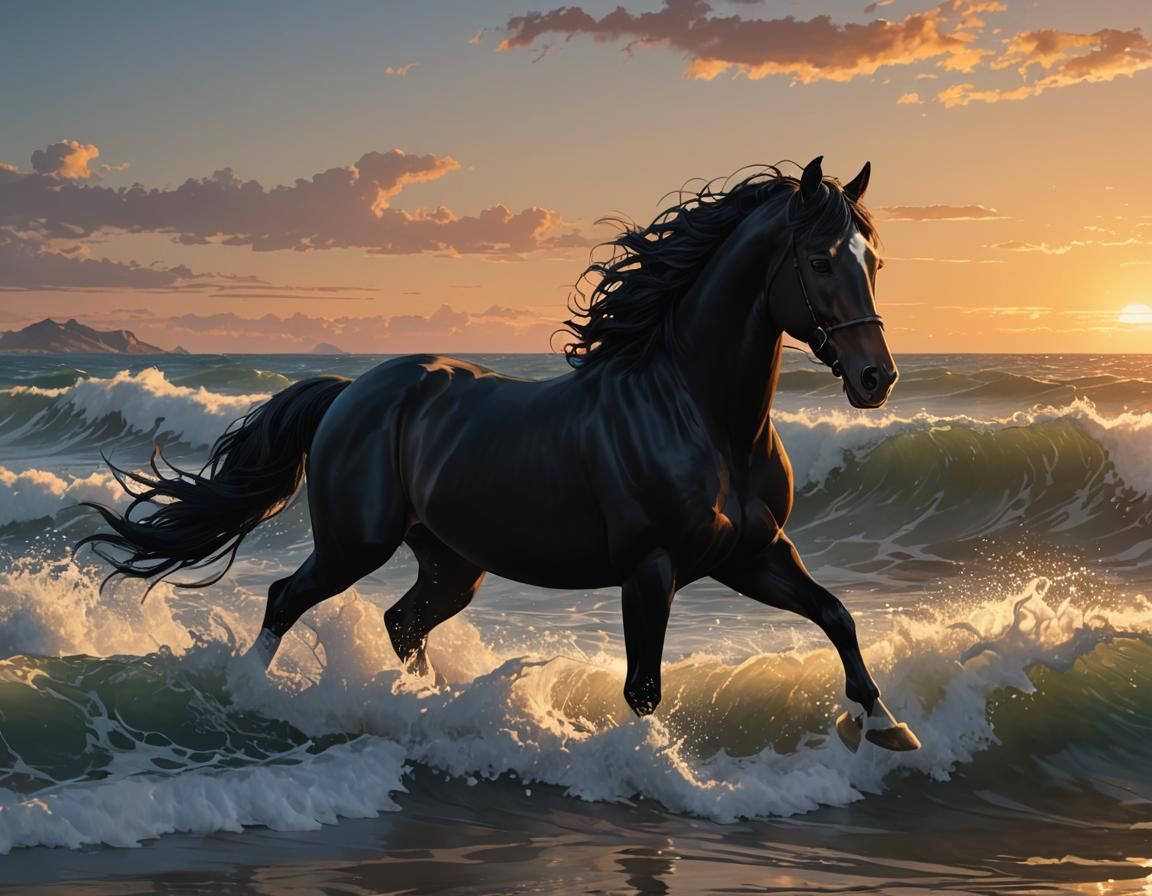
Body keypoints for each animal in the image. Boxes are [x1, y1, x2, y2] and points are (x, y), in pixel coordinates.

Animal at [79, 156, 919, 754]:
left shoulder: (752, 554)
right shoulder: (651, 569)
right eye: (820, 260)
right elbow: (644, 689)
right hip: (355, 543)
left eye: (875, 260)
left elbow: (837, 616)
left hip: (452, 563)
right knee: (287, 596)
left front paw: (886, 726)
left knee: (402, 622)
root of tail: (352, 390)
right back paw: (250, 695)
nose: (876, 378)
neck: (700, 415)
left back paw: (420, 707)